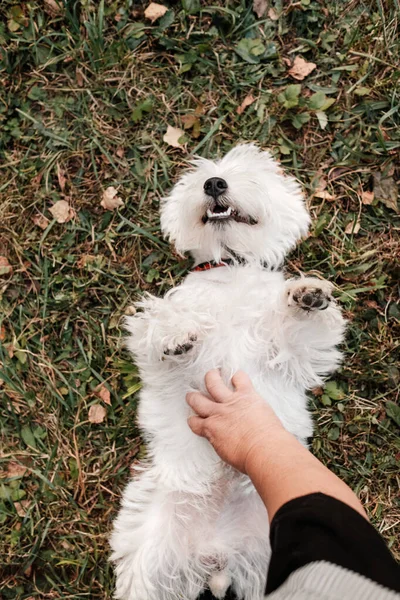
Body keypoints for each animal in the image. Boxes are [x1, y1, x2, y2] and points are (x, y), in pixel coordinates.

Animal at [110, 144, 346, 600]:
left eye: (250, 172)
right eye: (196, 175)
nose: (214, 183)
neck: (229, 268)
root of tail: (217, 555)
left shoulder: (296, 355)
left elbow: (301, 331)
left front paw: (306, 295)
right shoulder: (154, 356)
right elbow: (159, 324)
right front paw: (178, 332)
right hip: (151, 556)